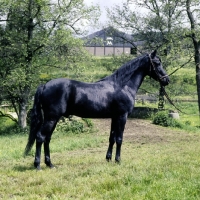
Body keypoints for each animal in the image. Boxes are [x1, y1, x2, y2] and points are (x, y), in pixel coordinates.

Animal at [24, 49, 169, 169]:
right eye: (157, 63)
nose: (167, 80)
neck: (122, 85)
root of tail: (44, 85)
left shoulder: (114, 117)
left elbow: (112, 138)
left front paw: (108, 159)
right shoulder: (122, 116)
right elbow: (119, 138)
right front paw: (118, 160)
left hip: (54, 119)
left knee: (47, 139)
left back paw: (50, 164)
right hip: (51, 118)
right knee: (40, 137)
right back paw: (38, 165)